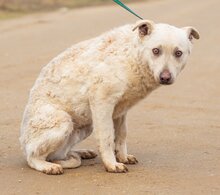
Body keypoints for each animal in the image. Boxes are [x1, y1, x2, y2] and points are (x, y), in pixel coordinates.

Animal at [20, 19, 199, 174]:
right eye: (156, 51)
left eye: (178, 53)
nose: (165, 77)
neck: (132, 55)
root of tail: (23, 142)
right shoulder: (102, 103)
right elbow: (106, 138)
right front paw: (112, 164)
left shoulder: (120, 110)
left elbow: (121, 135)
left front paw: (123, 157)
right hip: (63, 122)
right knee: (33, 157)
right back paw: (47, 166)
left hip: (85, 127)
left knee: (58, 154)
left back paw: (81, 152)